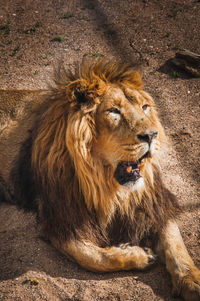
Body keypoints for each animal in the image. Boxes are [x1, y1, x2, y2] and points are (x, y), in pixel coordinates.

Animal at [3, 59, 200, 298]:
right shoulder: (61, 217)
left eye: (145, 107)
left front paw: (192, 281)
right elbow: (94, 257)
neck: (109, 187)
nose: (152, 135)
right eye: (114, 111)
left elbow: (176, 246)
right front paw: (141, 255)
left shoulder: (154, 202)